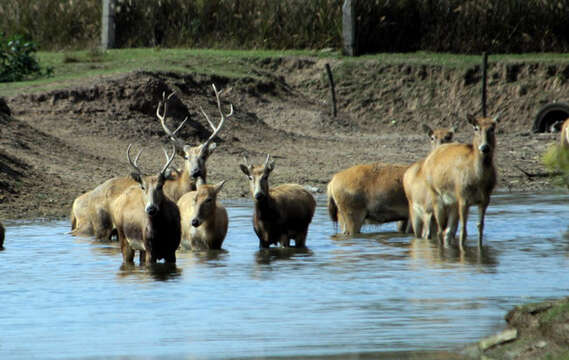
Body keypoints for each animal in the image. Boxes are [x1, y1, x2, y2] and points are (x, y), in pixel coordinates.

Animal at [422, 115, 496, 248]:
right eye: (476, 127)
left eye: (492, 128)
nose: (484, 147)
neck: (479, 179)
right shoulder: (463, 198)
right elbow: (463, 231)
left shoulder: (485, 200)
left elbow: (480, 228)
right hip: (436, 196)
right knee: (440, 230)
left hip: (452, 203)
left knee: (447, 231)